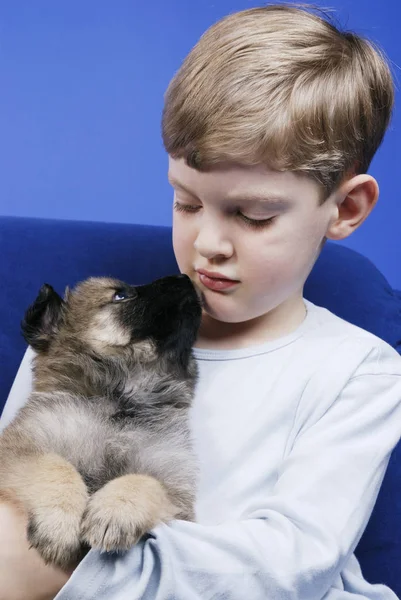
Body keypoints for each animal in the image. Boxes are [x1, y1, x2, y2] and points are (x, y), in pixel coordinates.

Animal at [0, 274, 200, 568]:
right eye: (120, 295)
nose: (184, 277)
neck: (121, 402)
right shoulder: (19, 448)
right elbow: (55, 465)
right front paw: (59, 522)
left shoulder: (177, 493)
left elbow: (145, 481)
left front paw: (115, 510)